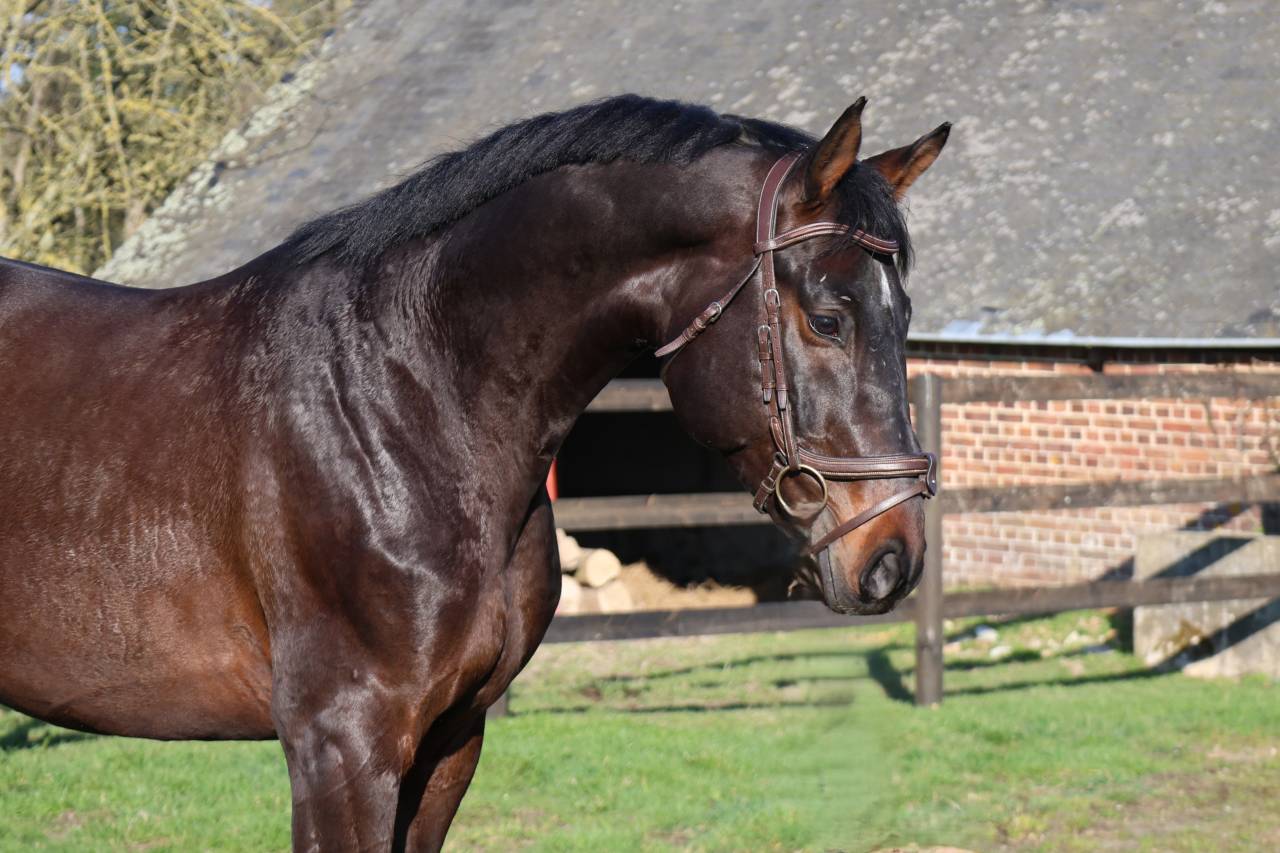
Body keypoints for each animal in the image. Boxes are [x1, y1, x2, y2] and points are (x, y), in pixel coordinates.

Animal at [0, 94, 948, 850]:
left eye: (903, 314)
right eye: (827, 317)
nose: (892, 558)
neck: (404, 397)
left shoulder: (451, 738)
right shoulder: (340, 745)